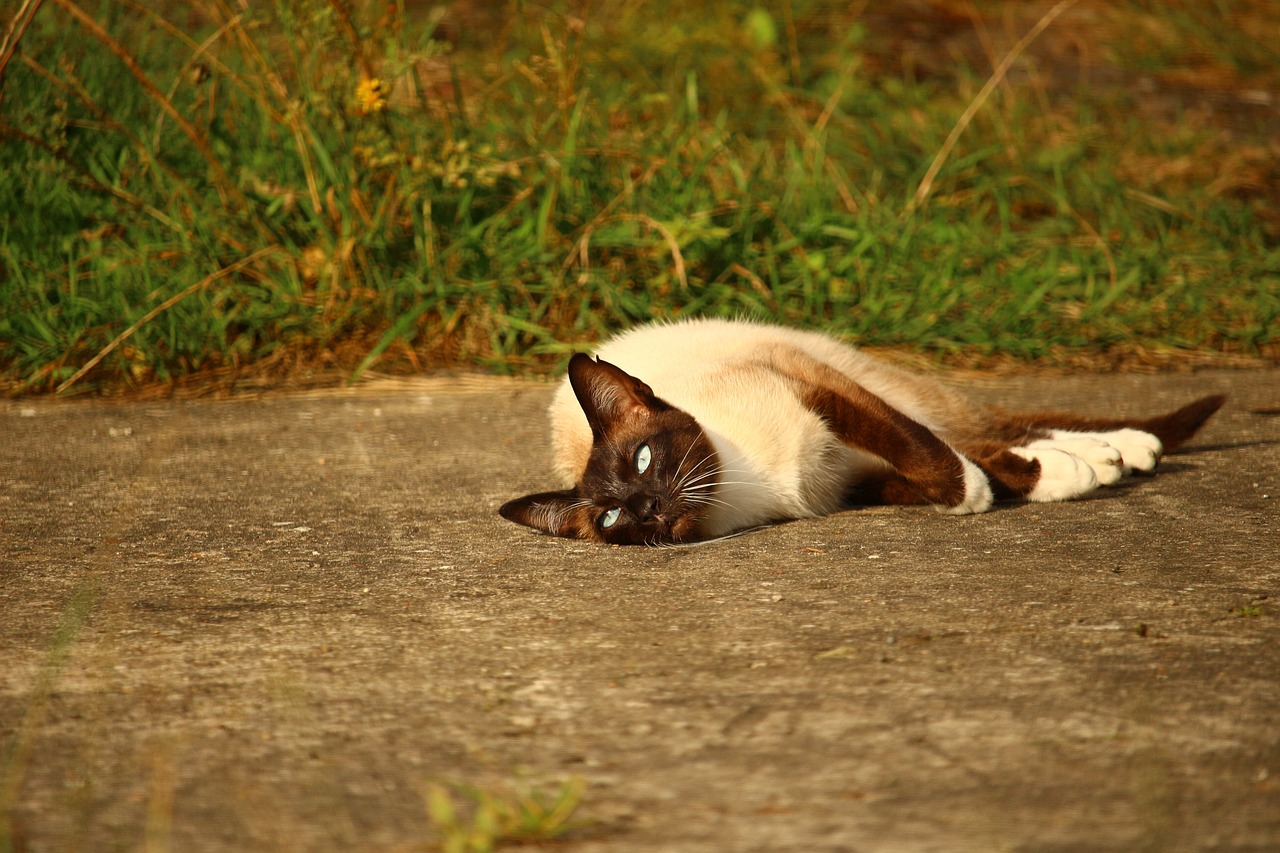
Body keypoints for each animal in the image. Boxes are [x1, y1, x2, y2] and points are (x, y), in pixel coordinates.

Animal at [494, 318, 1223, 545]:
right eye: (613, 518)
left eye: (645, 458)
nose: (648, 507)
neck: (752, 492)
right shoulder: (853, 482)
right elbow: (947, 470)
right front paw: (1001, 488)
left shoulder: (821, 388)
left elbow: (925, 450)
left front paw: (977, 494)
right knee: (992, 439)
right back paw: (1097, 461)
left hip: (870, 378)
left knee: (987, 426)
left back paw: (1123, 449)